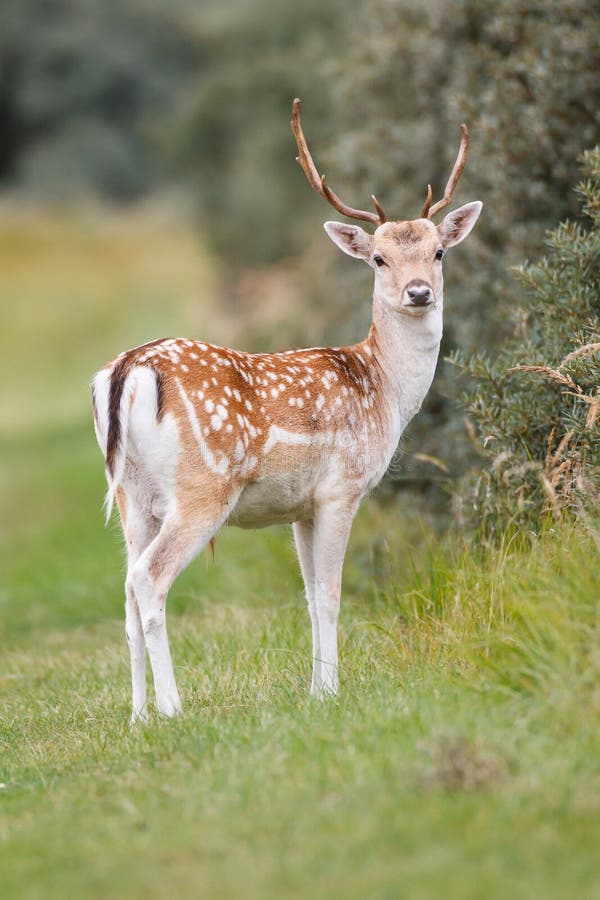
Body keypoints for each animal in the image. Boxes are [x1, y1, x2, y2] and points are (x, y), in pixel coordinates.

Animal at [91, 98, 480, 720]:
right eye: (377, 258)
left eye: (438, 251)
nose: (419, 291)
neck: (384, 388)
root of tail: (128, 370)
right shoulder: (342, 487)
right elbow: (332, 593)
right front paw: (332, 692)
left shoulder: (299, 505)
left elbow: (310, 593)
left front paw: (316, 688)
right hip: (202, 488)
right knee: (150, 579)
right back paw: (174, 709)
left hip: (132, 496)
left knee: (127, 584)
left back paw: (137, 716)